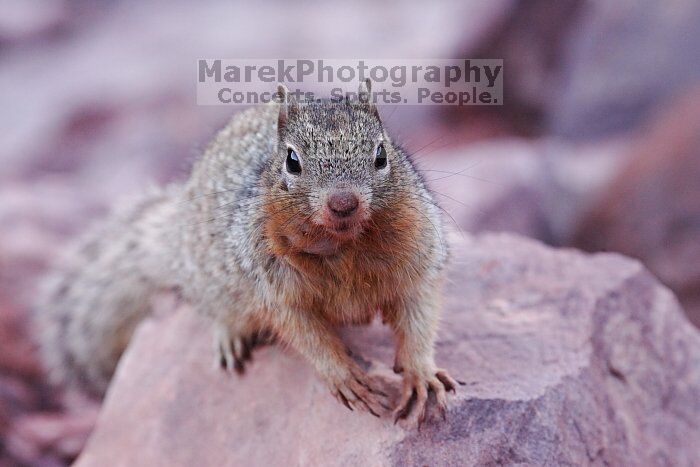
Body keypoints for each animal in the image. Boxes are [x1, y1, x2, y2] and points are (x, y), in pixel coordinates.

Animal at [37, 81, 460, 428]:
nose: (343, 203)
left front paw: (421, 373)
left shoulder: (418, 259)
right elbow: (306, 335)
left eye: (381, 154)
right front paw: (344, 375)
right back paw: (229, 337)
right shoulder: (275, 287)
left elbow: (419, 315)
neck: (344, 245)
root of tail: (174, 237)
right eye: (292, 160)